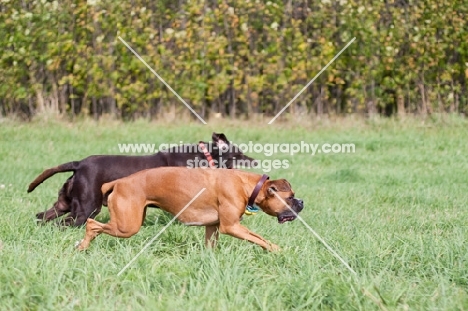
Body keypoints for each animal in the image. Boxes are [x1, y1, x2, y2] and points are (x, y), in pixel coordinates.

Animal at [27, 133, 254, 227]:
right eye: (239, 154)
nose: (255, 160)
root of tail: (79, 164)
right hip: (86, 208)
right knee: (64, 223)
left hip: (65, 203)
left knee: (43, 217)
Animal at [76, 168, 304, 251]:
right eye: (290, 197)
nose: (302, 202)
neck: (247, 185)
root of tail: (119, 182)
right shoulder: (232, 227)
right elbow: (261, 239)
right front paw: (278, 251)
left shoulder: (213, 227)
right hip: (126, 226)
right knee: (92, 224)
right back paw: (82, 245)